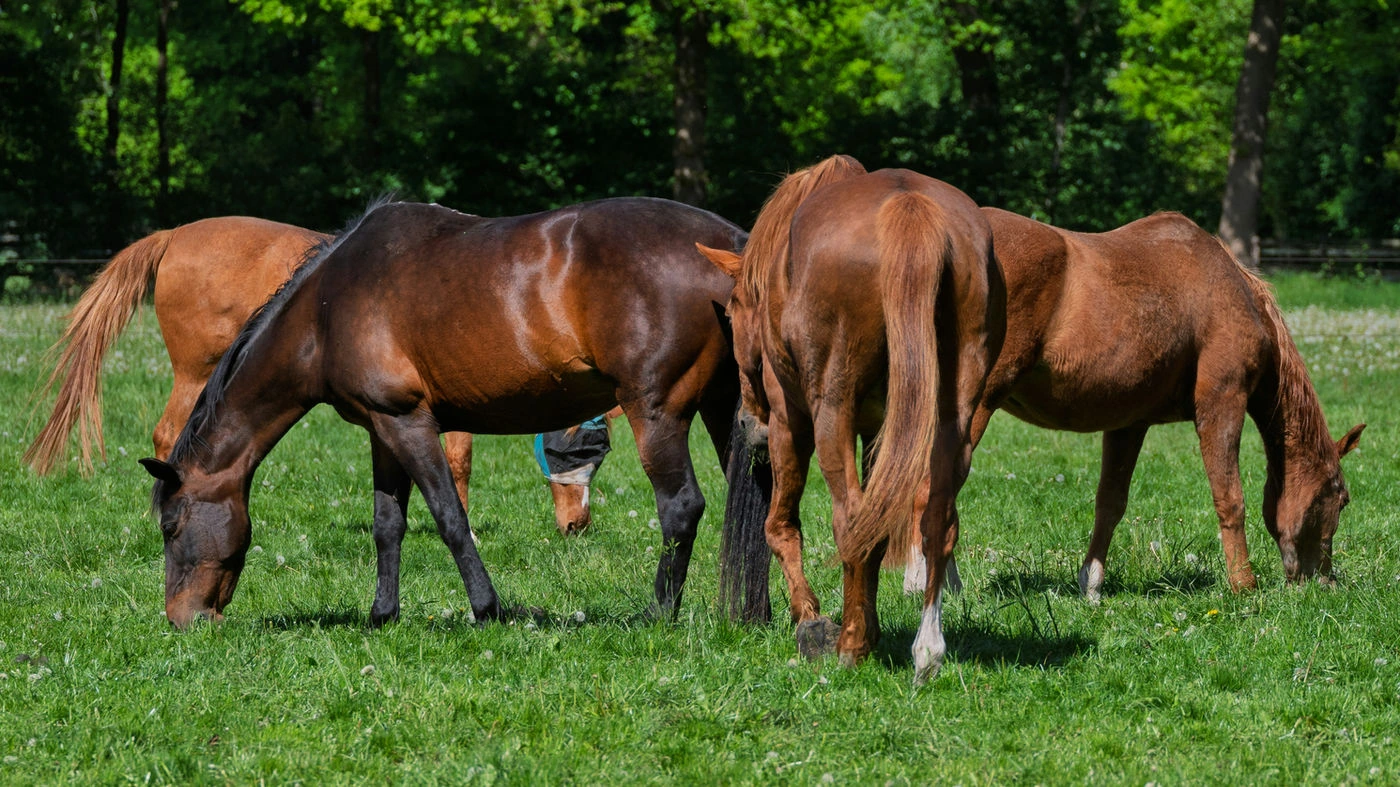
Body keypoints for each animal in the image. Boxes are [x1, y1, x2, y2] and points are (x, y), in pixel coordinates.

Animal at [23, 216, 601, 535]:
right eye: (579, 452)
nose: (577, 527)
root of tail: (174, 236)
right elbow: (457, 461)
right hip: (196, 372)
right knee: (169, 435)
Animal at [137, 197, 758, 629]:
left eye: (170, 525)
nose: (182, 619)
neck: (326, 307)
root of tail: (730, 246)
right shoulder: (382, 429)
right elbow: (388, 525)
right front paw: (381, 616)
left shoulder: (410, 423)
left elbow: (449, 518)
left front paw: (488, 609)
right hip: (725, 406)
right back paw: (754, 613)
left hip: (657, 411)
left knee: (681, 506)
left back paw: (658, 615)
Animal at [699, 155, 1006, 683]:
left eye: (735, 313)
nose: (746, 425)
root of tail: (911, 208)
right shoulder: (880, 433)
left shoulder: (790, 426)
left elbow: (781, 526)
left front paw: (812, 620)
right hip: (953, 417)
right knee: (936, 521)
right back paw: (926, 650)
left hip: (828, 417)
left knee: (849, 520)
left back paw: (849, 644)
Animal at [904, 207, 1364, 600]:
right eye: (1341, 498)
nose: (1325, 581)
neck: (1229, 286)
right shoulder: (1222, 403)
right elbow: (1230, 497)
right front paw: (1244, 586)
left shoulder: (1128, 423)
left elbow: (1110, 503)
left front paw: (1091, 585)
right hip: (975, 406)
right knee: (933, 489)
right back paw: (925, 582)